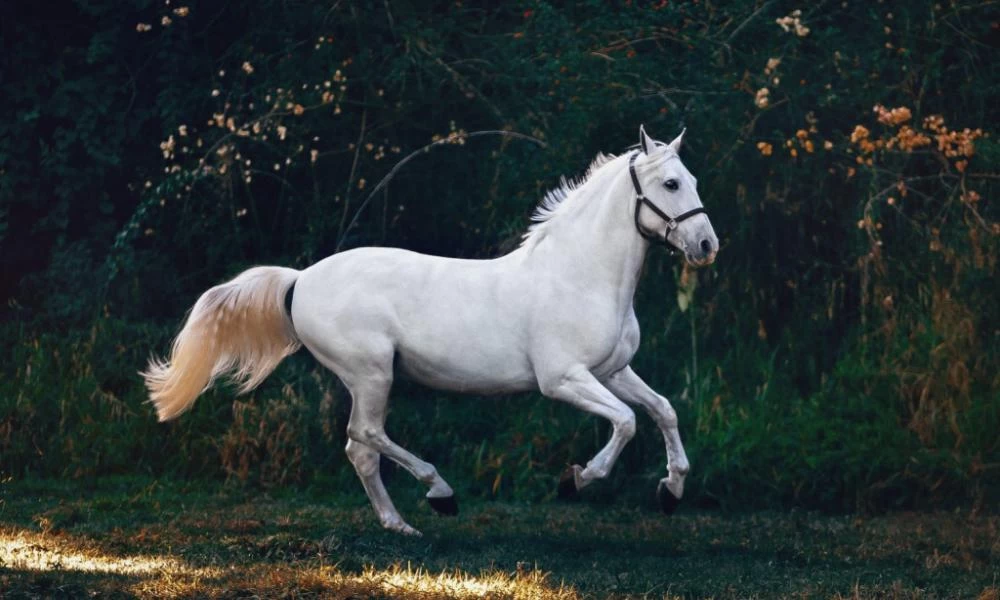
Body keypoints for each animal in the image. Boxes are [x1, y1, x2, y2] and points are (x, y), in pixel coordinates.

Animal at [143, 125, 720, 536]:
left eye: (693, 181)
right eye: (671, 183)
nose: (706, 246)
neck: (579, 275)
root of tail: (300, 279)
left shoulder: (613, 370)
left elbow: (663, 410)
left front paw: (670, 491)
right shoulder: (563, 380)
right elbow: (626, 422)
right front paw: (576, 479)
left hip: (370, 379)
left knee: (360, 449)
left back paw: (400, 524)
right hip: (372, 373)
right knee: (366, 436)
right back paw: (439, 494)